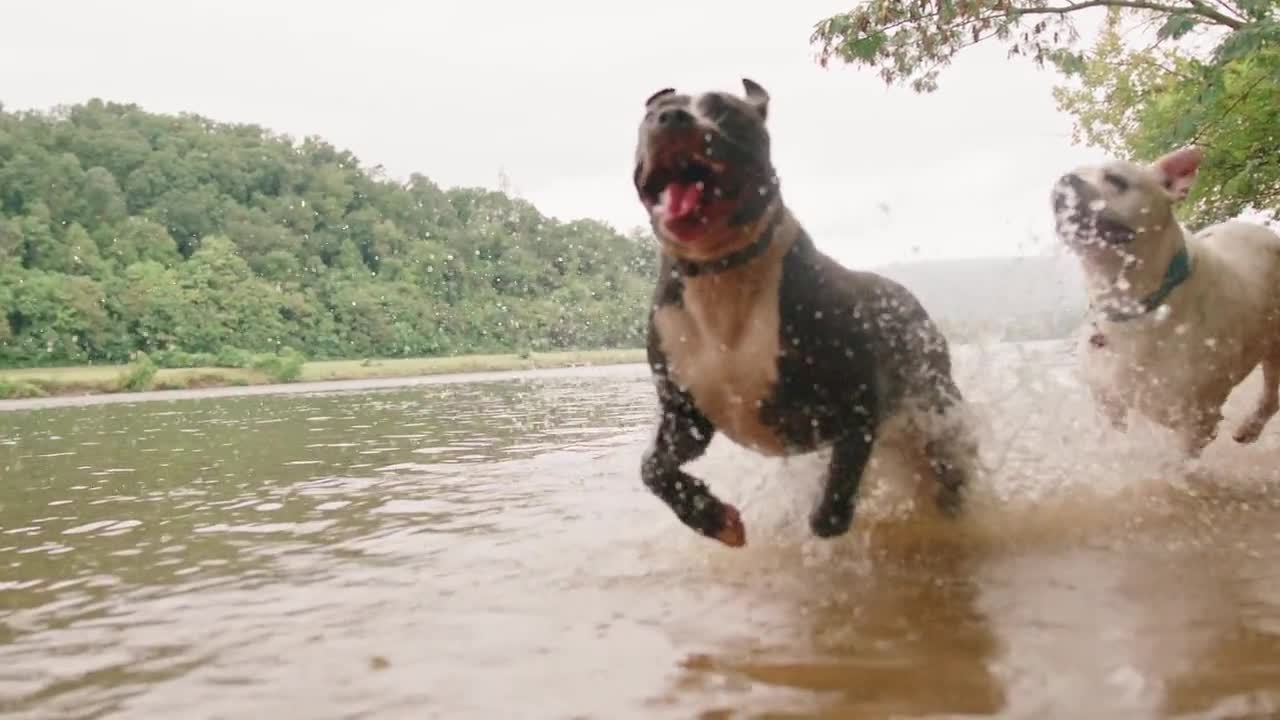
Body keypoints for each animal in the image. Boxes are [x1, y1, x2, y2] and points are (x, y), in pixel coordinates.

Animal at [632, 78, 977, 545]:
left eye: (725, 112)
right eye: (653, 114)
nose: (670, 118)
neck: (721, 269)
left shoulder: (856, 402)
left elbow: (833, 501)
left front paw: (827, 517)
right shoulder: (686, 416)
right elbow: (653, 469)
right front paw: (712, 518)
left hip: (937, 414)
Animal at [1049, 146, 1280, 453]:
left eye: (1116, 180)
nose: (1065, 180)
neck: (1137, 305)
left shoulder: (1196, 422)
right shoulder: (1108, 400)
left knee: (1271, 395)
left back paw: (1250, 427)